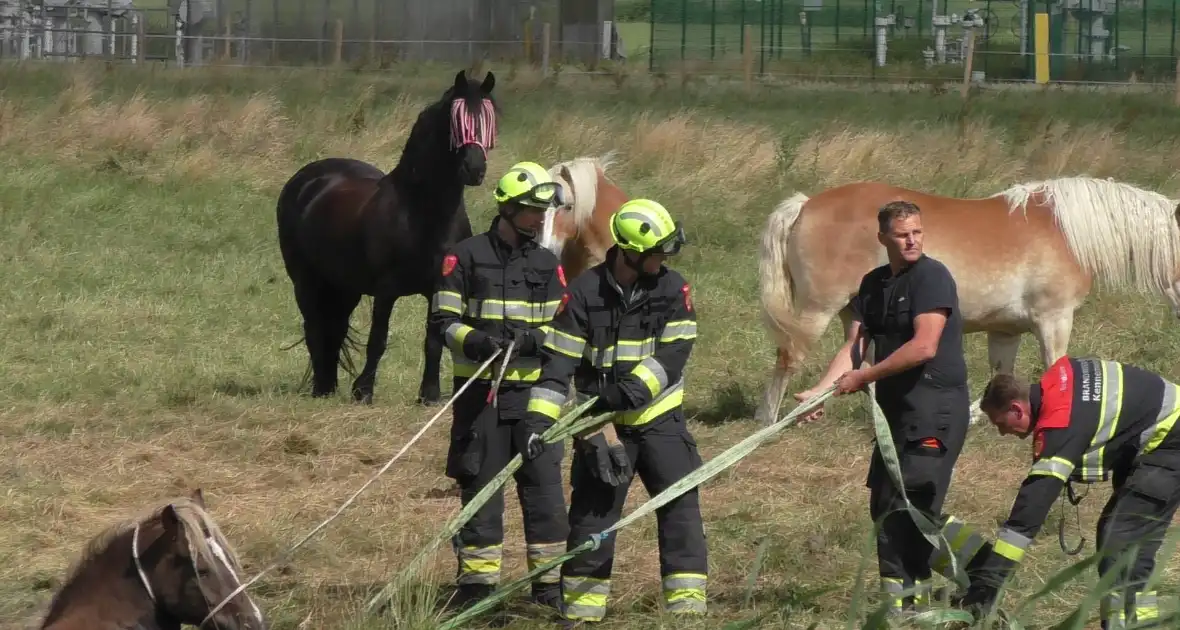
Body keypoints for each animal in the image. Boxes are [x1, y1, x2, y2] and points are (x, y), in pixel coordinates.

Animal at [276, 69, 497, 405]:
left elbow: (433, 342)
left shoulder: (439, 289)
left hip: (345, 285)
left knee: (334, 328)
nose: (474, 169)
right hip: (305, 279)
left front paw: (429, 395)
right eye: (455, 119)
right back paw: (321, 389)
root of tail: (305, 179)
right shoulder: (385, 290)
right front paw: (364, 392)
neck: (423, 213)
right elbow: (377, 339)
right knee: (314, 326)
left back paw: (329, 384)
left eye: (489, 118)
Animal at [750, 175, 1180, 427]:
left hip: (855, 315)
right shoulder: (1053, 319)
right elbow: (1055, 367)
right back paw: (767, 419)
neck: (1066, 232)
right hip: (817, 310)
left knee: (864, 365)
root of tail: (805, 204)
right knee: (788, 357)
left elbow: (1000, 375)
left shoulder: (1006, 331)